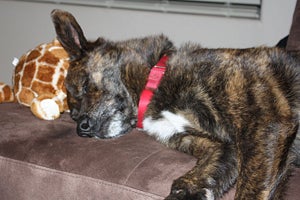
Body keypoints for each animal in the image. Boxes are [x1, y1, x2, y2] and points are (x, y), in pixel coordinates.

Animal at [51, 9, 300, 200]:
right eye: (73, 115)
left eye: (85, 85)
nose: (81, 127)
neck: (155, 84)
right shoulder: (221, 147)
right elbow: (195, 179)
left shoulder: (267, 123)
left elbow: (251, 189)